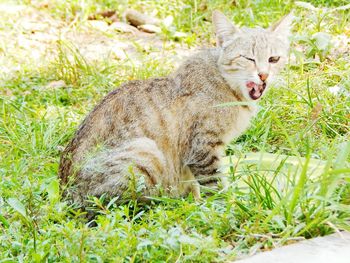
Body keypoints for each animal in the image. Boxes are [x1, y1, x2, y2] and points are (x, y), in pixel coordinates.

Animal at [59, 10, 292, 205]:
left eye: (274, 59)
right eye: (248, 58)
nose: (264, 75)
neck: (227, 84)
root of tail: (66, 195)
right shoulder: (202, 148)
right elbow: (214, 183)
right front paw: (222, 206)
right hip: (145, 151)